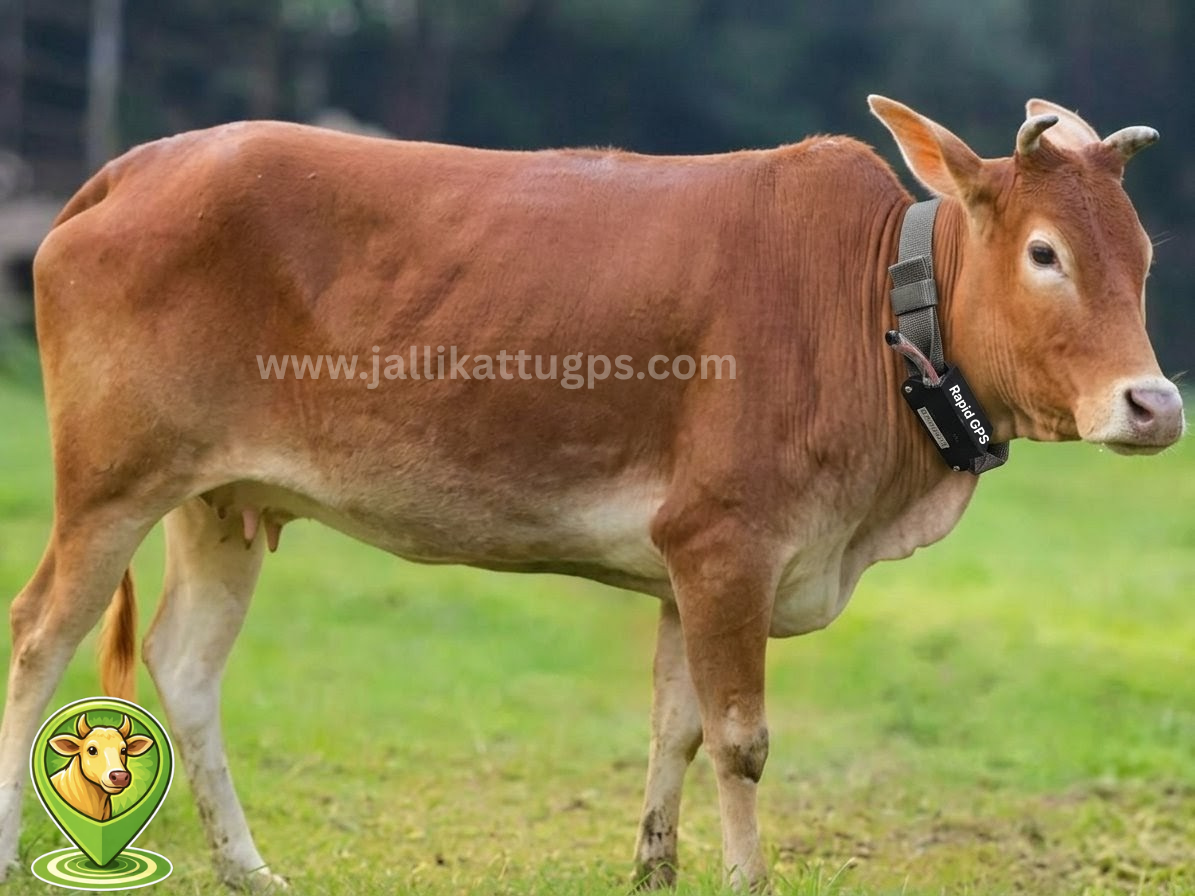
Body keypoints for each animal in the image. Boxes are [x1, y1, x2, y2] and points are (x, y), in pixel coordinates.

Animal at [0, 95, 1183, 891]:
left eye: (1141, 257)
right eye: (1044, 253)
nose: (1154, 404)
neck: (875, 321)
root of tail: (137, 165)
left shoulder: (685, 567)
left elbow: (677, 728)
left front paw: (654, 866)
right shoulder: (727, 543)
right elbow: (742, 738)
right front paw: (748, 876)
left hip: (221, 499)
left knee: (187, 663)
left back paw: (247, 865)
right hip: (112, 480)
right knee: (41, 632)